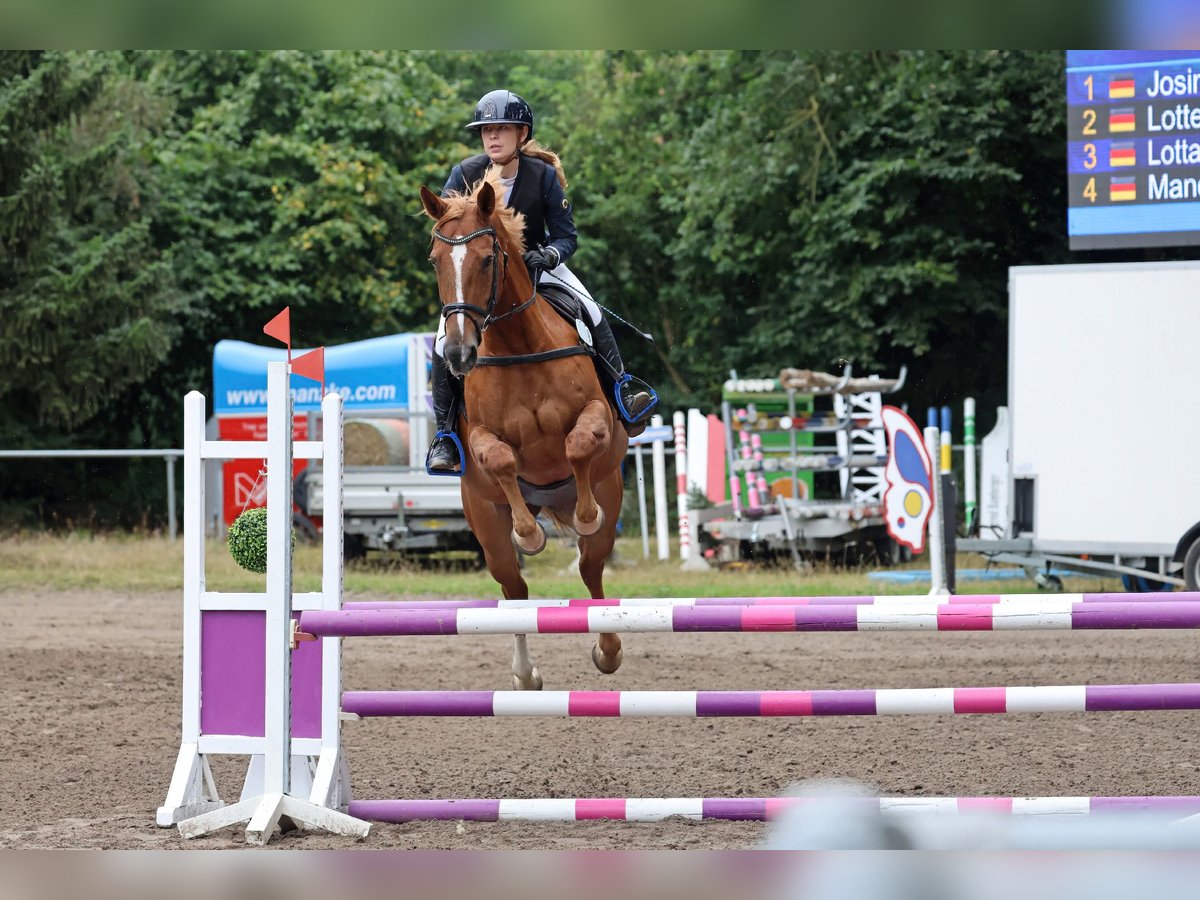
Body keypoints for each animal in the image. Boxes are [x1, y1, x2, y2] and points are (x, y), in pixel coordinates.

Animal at [420, 172, 628, 691]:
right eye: (435, 261)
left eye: (487, 258)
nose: (458, 355)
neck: (517, 346)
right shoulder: (480, 439)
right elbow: (500, 459)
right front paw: (530, 537)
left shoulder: (596, 414)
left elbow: (578, 444)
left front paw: (584, 516)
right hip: (484, 520)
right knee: (513, 588)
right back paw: (525, 674)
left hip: (609, 493)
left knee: (590, 568)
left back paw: (608, 649)